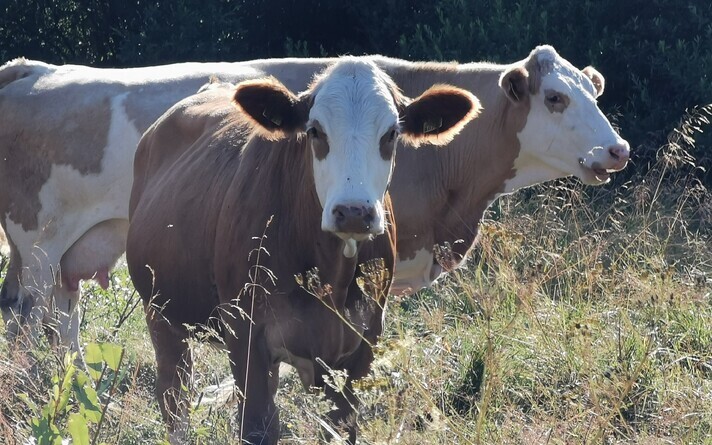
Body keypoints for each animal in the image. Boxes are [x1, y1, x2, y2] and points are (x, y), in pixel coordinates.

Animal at [0, 45, 629, 364]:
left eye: (594, 92)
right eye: (556, 98)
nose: (617, 149)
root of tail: (35, 70)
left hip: (68, 256)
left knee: (61, 322)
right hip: (38, 247)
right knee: (29, 323)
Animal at [126, 58, 480, 444]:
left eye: (391, 134)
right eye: (315, 131)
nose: (353, 211)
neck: (330, 278)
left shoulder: (362, 343)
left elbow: (341, 427)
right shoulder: (246, 336)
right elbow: (257, 427)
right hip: (159, 312)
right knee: (175, 400)